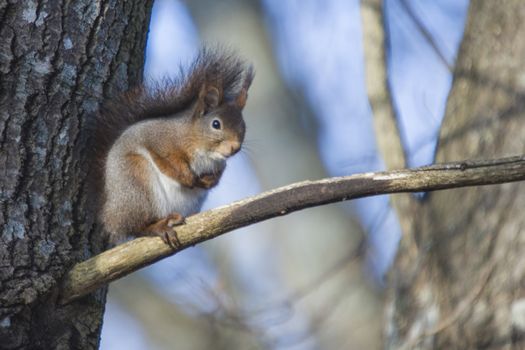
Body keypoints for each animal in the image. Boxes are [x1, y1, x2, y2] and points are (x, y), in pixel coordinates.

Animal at [92, 48, 254, 246]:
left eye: (243, 126)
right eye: (216, 124)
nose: (235, 148)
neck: (206, 151)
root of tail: (110, 214)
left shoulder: (219, 164)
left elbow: (218, 175)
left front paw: (209, 181)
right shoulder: (159, 140)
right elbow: (168, 162)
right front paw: (188, 178)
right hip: (136, 185)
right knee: (136, 227)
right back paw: (159, 226)